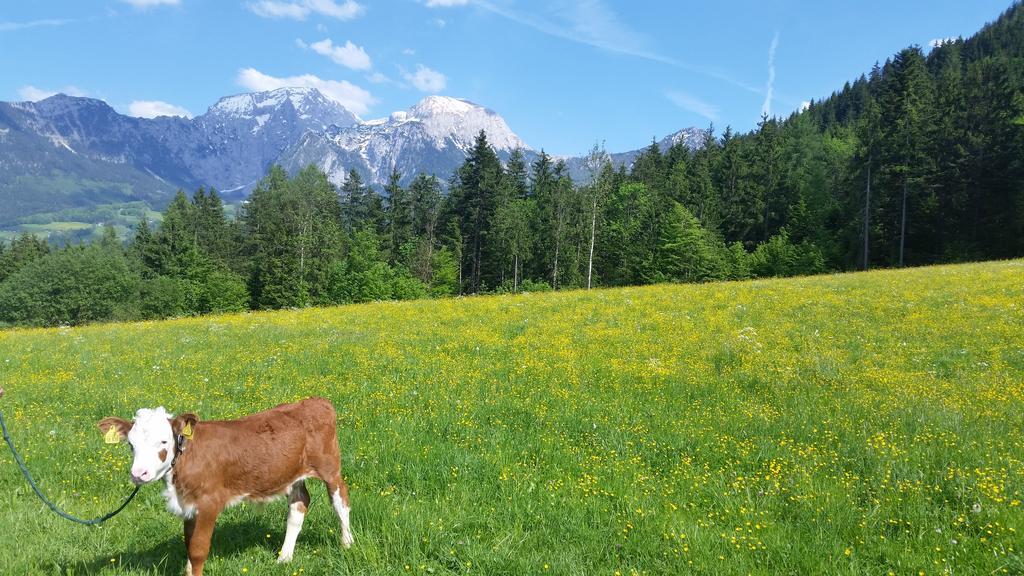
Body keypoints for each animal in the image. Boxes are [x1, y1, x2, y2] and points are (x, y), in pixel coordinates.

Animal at [99, 397, 354, 569]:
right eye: (131, 444)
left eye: (163, 441)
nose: (138, 473)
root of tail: (314, 401)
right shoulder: (188, 505)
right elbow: (188, 545)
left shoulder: (209, 503)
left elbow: (198, 550)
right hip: (293, 474)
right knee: (298, 505)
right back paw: (284, 556)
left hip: (330, 467)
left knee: (340, 501)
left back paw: (347, 543)